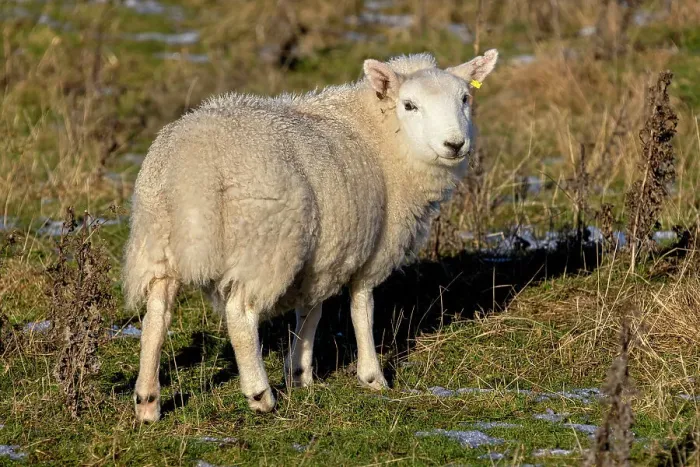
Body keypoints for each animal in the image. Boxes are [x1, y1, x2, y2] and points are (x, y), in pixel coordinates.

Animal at [123, 49, 499, 422]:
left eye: (465, 99)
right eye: (409, 105)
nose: (455, 144)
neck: (381, 133)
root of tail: (194, 168)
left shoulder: (325, 252)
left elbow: (310, 311)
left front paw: (300, 372)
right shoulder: (367, 248)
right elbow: (361, 308)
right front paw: (372, 376)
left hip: (156, 241)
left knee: (157, 316)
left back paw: (148, 401)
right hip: (267, 243)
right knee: (240, 314)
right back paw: (260, 394)